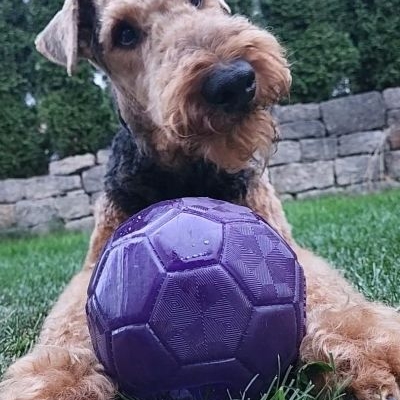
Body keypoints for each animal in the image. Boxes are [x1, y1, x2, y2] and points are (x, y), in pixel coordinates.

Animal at [0, 0, 400, 400]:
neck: (186, 169)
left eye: (196, 3)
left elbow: (328, 293)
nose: (233, 81)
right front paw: (53, 382)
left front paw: (373, 352)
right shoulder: (92, 266)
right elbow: (67, 324)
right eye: (124, 34)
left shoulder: (285, 242)